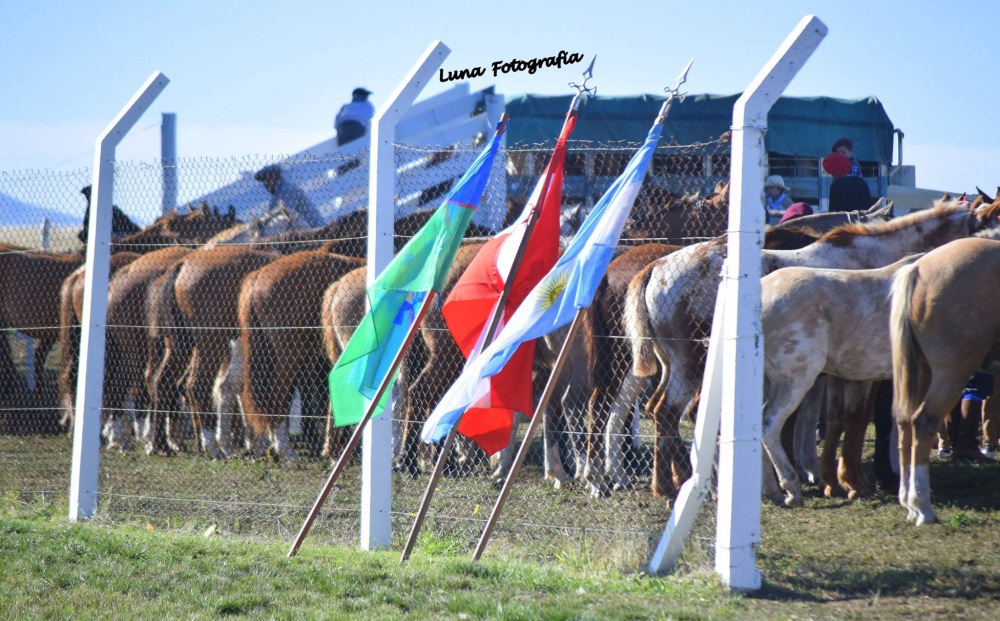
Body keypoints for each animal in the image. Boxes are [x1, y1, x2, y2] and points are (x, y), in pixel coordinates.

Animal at [628, 203, 996, 498]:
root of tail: (655, 268)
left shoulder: (832, 374)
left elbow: (828, 419)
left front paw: (829, 476)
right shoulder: (859, 374)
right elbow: (855, 418)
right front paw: (849, 480)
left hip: (675, 366)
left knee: (661, 410)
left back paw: (676, 481)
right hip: (693, 367)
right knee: (676, 412)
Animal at [896, 236, 1000, 524]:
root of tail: (919, 266)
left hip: (921, 373)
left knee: (905, 422)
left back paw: (909, 503)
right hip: (952, 371)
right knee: (924, 421)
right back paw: (922, 507)